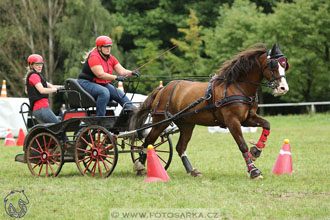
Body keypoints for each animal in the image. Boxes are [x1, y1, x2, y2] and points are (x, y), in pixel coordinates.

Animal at [129, 43, 288, 179]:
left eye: (284, 65)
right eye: (273, 65)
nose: (283, 88)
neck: (238, 86)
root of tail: (163, 89)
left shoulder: (248, 118)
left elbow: (266, 124)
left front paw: (256, 150)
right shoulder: (232, 121)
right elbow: (242, 145)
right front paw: (254, 171)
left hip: (186, 124)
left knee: (180, 147)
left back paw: (192, 170)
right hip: (161, 121)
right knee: (148, 142)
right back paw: (141, 166)